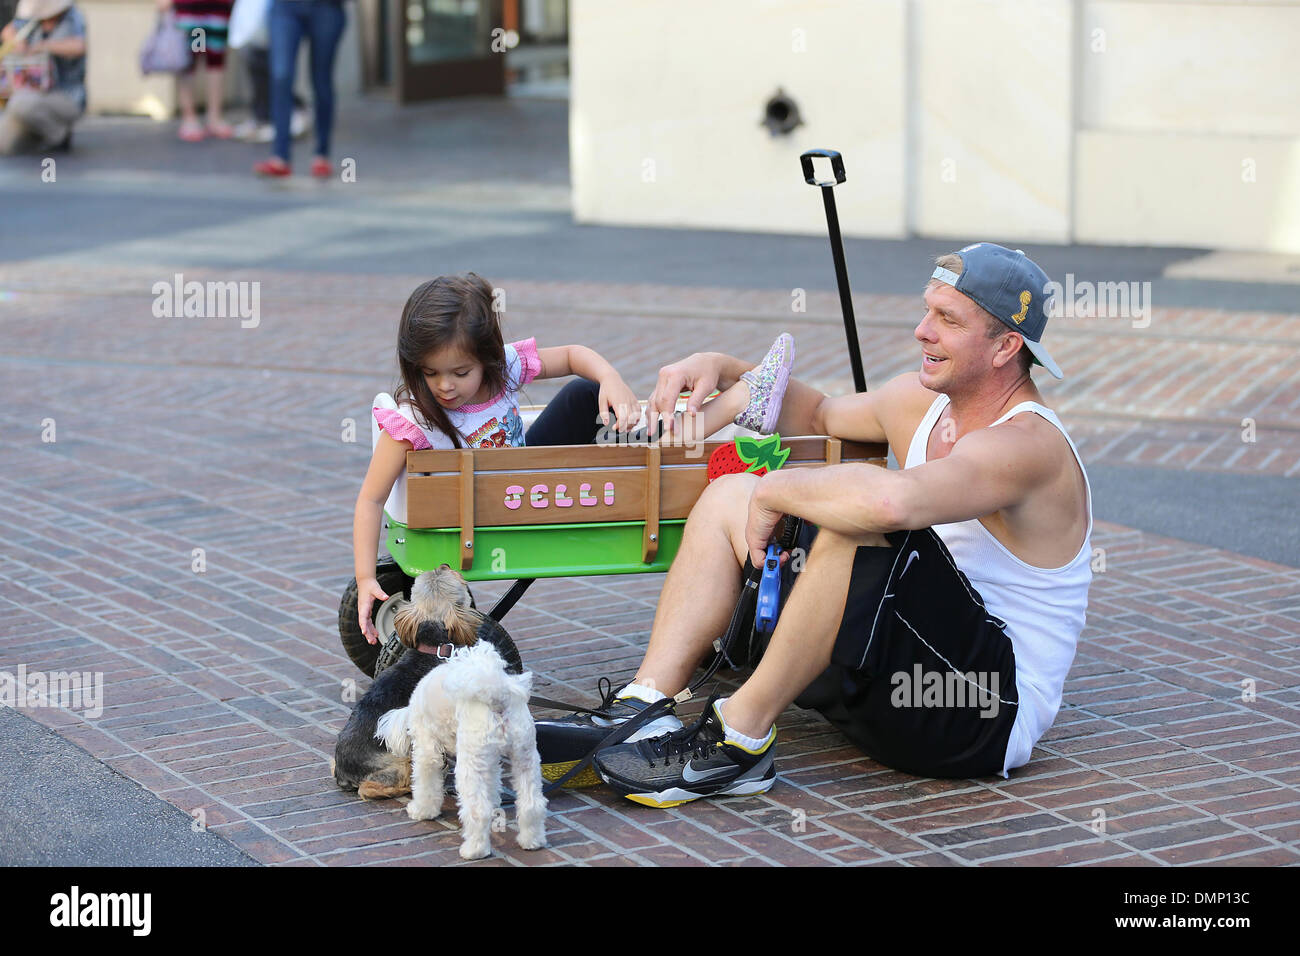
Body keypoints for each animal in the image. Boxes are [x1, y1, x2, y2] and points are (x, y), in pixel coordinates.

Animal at [377, 642, 543, 858]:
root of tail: (495, 695)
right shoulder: (489, 762)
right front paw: (494, 802)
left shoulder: (427, 750)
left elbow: (425, 782)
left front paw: (422, 810)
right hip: (525, 756)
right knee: (532, 803)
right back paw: (532, 841)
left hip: (470, 763)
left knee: (477, 811)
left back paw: (474, 850)